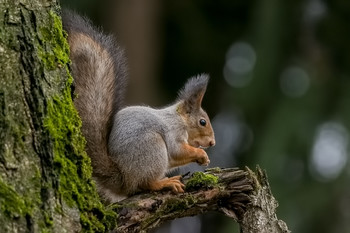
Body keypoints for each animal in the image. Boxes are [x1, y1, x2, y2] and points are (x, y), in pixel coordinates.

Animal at [61, 9, 215, 202]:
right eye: (202, 122)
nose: (212, 142)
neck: (179, 119)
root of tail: (124, 180)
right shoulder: (174, 131)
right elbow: (177, 150)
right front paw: (201, 154)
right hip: (152, 148)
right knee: (145, 183)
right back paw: (164, 182)